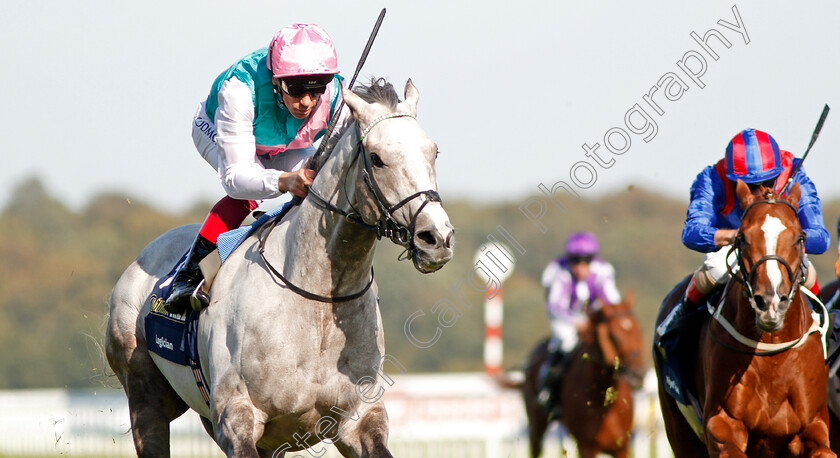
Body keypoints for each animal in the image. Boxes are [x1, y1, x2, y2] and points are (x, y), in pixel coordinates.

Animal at [109, 79, 460, 458]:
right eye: (378, 159)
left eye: (434, 152)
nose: (437, 237)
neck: (316, 300)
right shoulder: (237, 417)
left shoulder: (358, 419)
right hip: (146, 396)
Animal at [520, 294, 648, 458]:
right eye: (613, 335)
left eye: (640, 330)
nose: (637, 375)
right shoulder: (586, 446)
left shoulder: (621, 447)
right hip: (536, 424)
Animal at [652, 181, 832, 456]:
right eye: (742, 238)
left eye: (800, 237)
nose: (770, 303)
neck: (772, 354)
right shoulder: (723, 422)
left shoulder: (813, 424)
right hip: (679, 427)